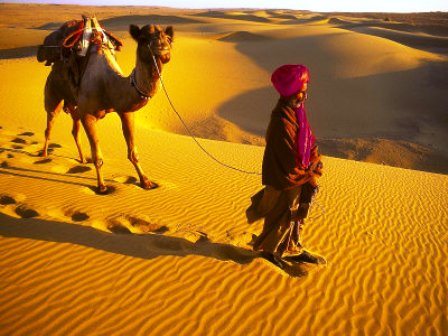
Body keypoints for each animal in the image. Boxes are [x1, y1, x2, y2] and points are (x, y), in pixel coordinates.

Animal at [42, 21, 174, 194]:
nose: (164, 49)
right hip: (53, 94)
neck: (109, 85)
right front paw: (102, 186)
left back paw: (82, 159)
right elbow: (98, 157)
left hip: (74, 106)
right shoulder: (88, 115)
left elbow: (133, 152)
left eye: (169, 39)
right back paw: (44, 156)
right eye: (143, 38)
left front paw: (146, 182)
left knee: (75, 131)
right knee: (49, 125)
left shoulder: (125, 110)